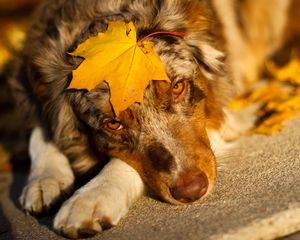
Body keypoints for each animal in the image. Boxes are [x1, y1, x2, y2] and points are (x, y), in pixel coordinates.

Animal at [8, 0, 298, 238]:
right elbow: (39, 131)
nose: (192, 191)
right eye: (113, 124)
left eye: (178, 87)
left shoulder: (221, 113)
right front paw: (44, 179)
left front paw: (91, 198)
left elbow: (119, 164)